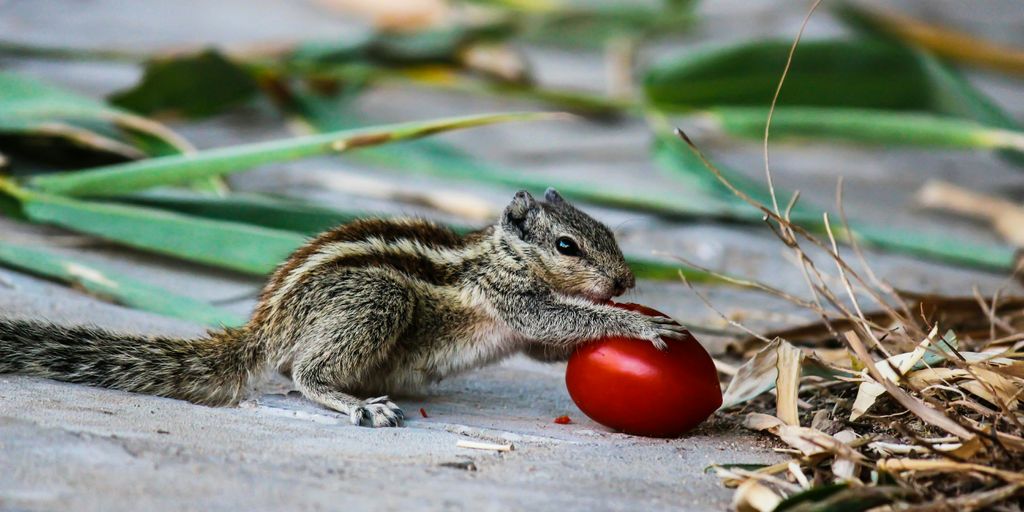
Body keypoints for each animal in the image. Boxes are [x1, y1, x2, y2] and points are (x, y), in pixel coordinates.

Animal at [0, 188, 689, 427]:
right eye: (568, 244)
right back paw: (357, 402)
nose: (627, 280)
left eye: (607, 229)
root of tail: (264, 327)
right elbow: (559, 317)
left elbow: (550, 346)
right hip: (377, 299)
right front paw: (637, 324)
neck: (501, 253)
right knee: (302, 375)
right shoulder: (508, 297)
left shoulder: (524, 328)